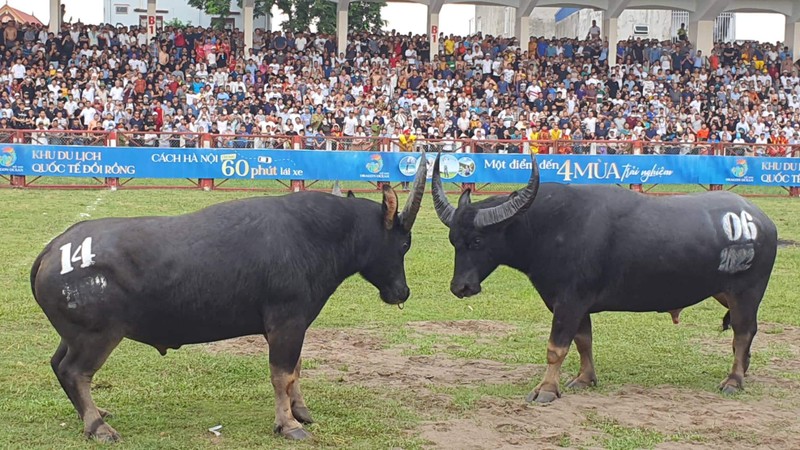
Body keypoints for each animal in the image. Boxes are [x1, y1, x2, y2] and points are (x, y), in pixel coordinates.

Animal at [29, 153, 432, 442]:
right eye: (404, 243)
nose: (402, 291)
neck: (315, 235)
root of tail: (54, 248)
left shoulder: (294, 327)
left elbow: (296, 370)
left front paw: (300, 412)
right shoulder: (286, 323)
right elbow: (282, 374)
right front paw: (288, 424)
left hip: (74, 336)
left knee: (58, 364)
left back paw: (96, 415)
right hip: (97, 337)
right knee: (74, 372)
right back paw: (98, 426)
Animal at [432, 153, 776, 402]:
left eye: (478, 241)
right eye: (453, 240)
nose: (461, 287)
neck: (548, 227)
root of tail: (762, 221)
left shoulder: (569, 302)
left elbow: (556, 347)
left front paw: (546, 390)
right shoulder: (576, 304)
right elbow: (583, 340)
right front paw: (585, 379)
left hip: (747, 293)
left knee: (742, 333)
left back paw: (733, 380)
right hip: (723, 292)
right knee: (746, 335)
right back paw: (743, 370)